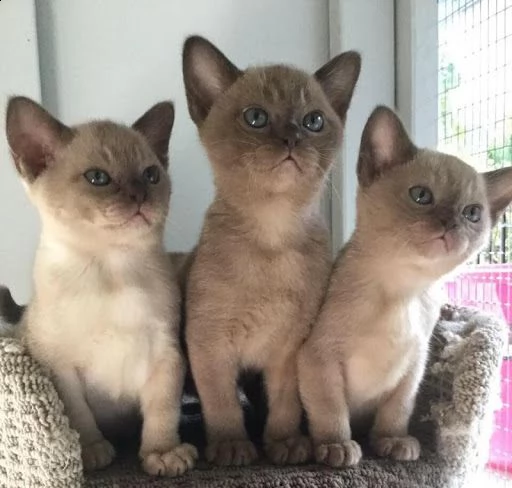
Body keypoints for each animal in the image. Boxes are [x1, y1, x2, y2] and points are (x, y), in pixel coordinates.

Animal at [6, 96, 198, 476]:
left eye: (151, 175)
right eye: (98, 178)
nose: (140, 196)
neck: (113, 268)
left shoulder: (165, 356)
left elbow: (163, 412)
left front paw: (162, 454)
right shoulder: (59, 367)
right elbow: (78, 416)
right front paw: (90, 454)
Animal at [182, 36, 362, 468]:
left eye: (313, 121)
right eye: (256, 118)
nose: (292, 138)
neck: (272, 235)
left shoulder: (288, 350)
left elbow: (285, 405)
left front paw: (285, 443)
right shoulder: (209, 344)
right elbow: (223, 405)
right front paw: (232, 447)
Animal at [296, 106, 512, 466]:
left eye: (472, 213)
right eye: (421, 196)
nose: (450, 224)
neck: (401, 290)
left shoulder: (414, 365)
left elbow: (397, 410)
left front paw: (392, 441)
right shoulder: (318, 359)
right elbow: (331, 409)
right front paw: (336, 446)